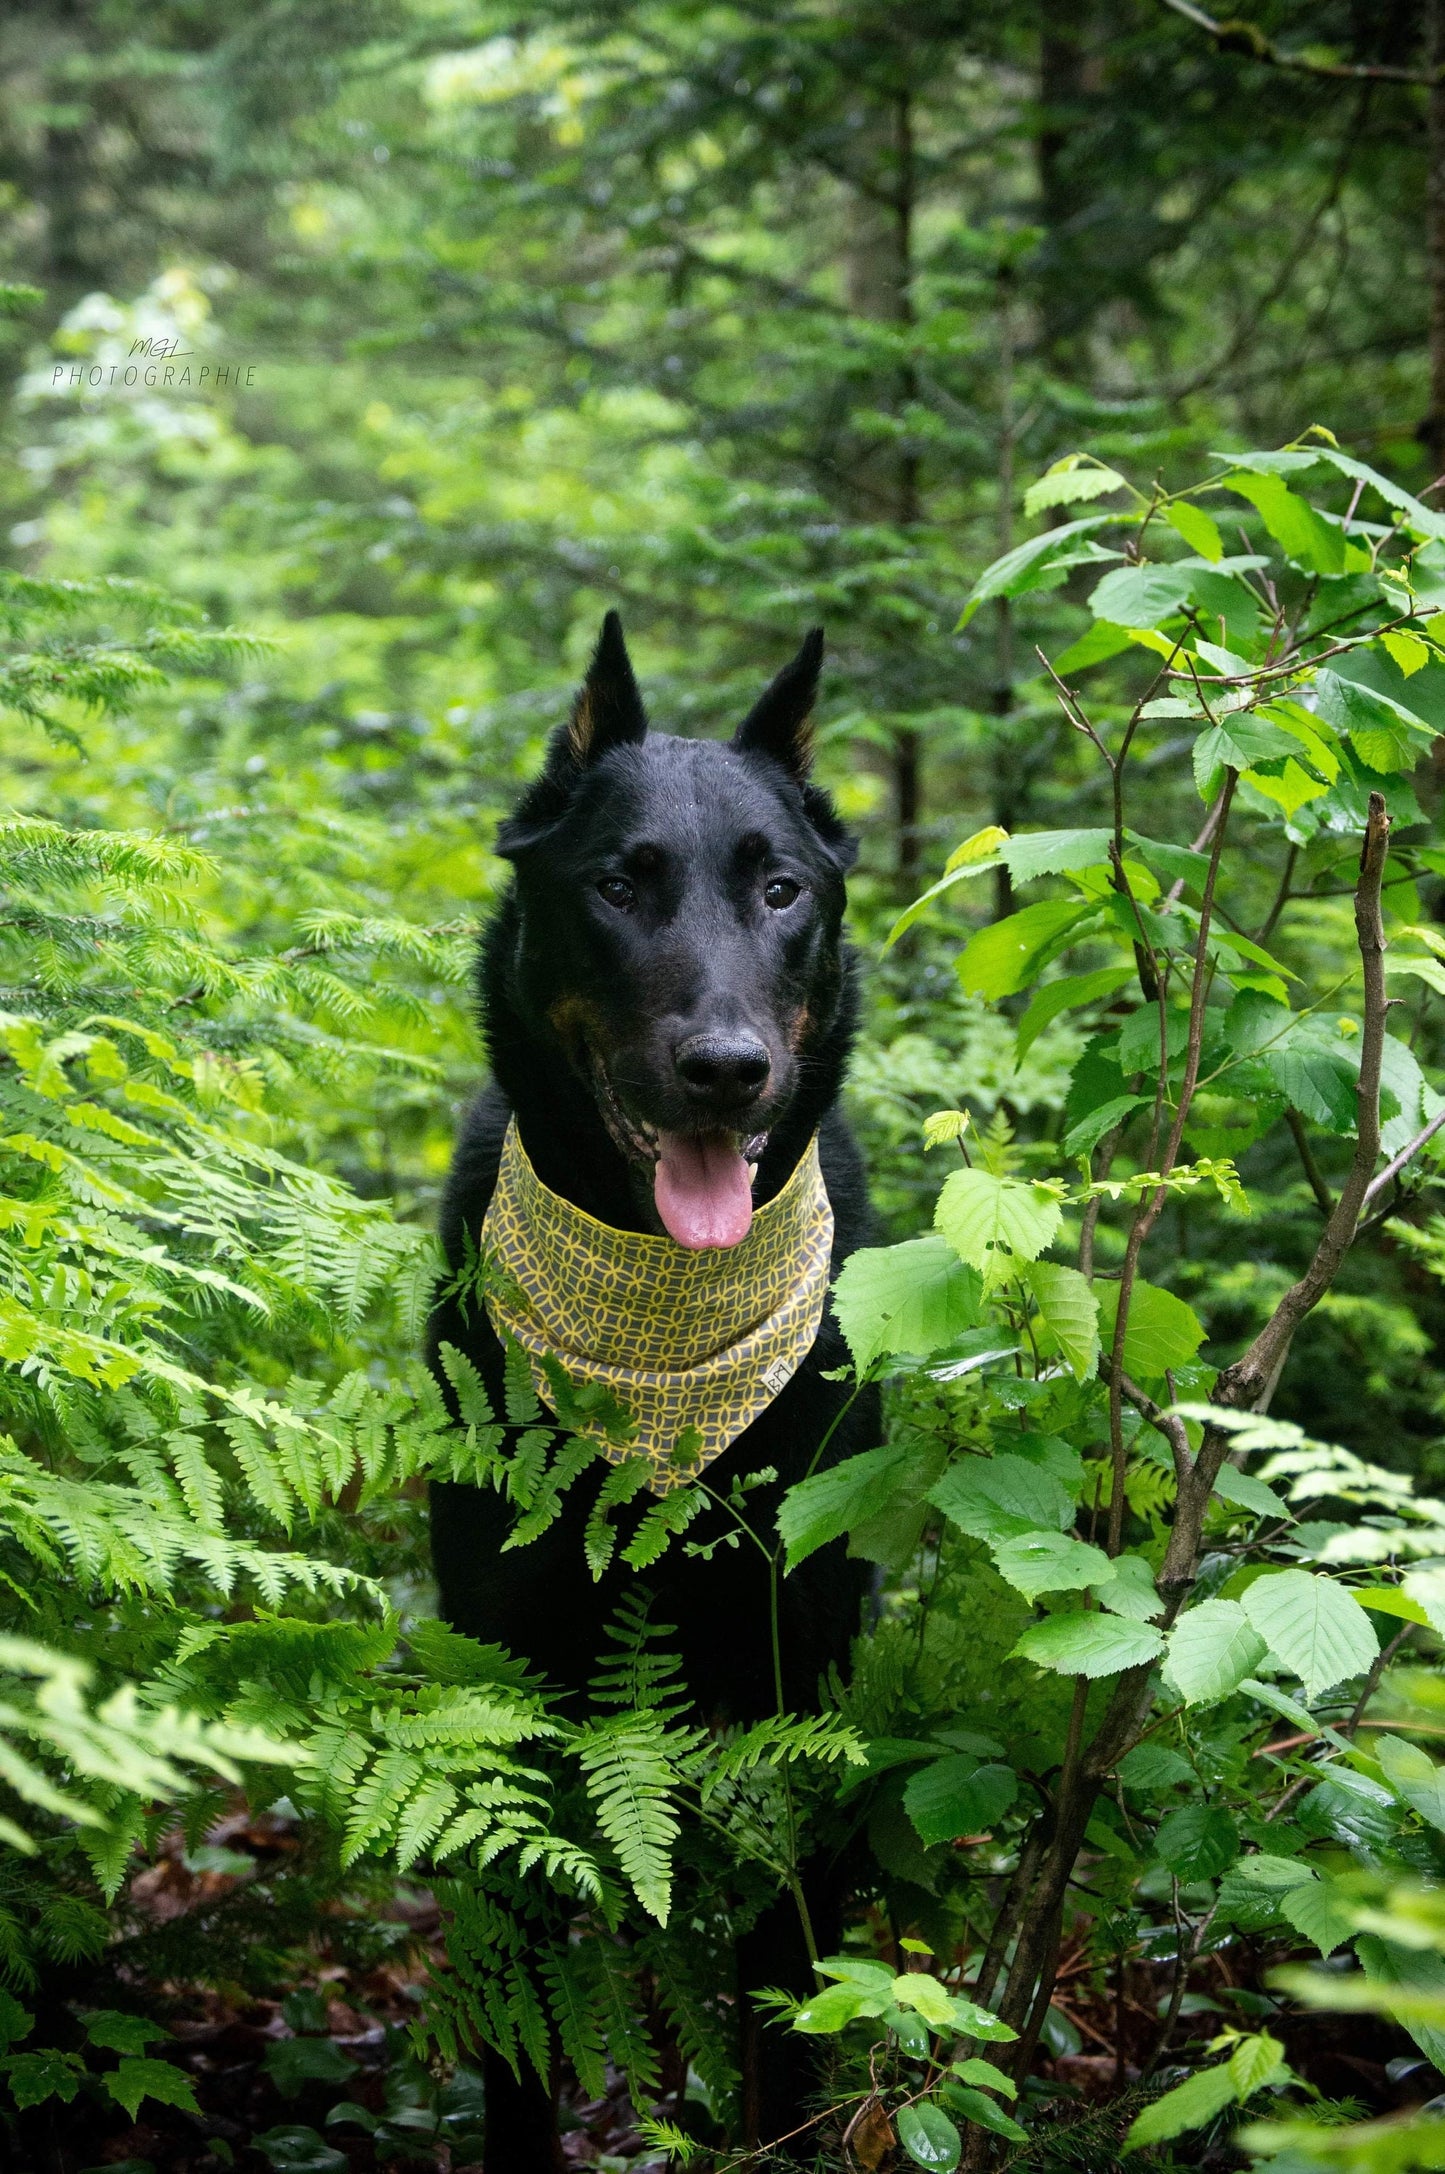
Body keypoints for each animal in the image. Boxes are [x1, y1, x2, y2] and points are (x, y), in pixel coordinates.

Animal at [428, 621, 873, 2165]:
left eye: (780, 889)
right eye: (619, 885)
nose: (727, 1071)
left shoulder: (804, 1675)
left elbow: (791, 1987)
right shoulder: (509, 1673)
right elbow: (515, 2010)